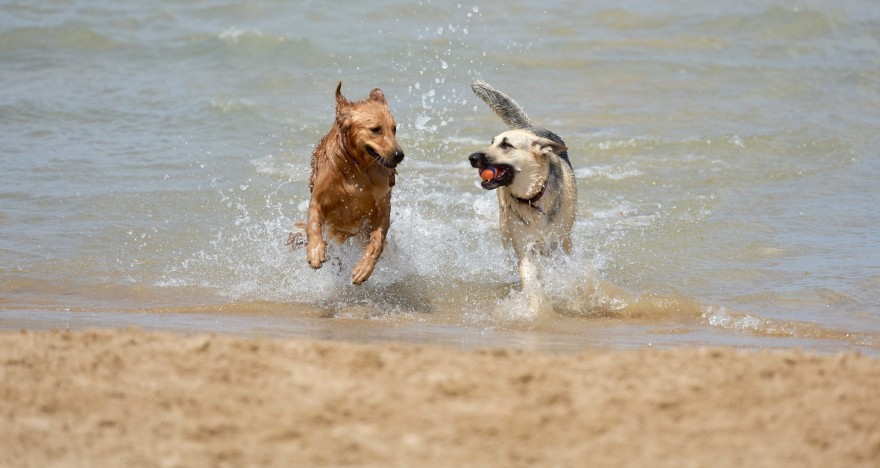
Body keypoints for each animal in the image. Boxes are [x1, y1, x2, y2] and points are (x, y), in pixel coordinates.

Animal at [468, 79, 576, 300]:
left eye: (506, 145)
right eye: (491, 142)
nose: (472, 158)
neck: (533, 197)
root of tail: (530, 128)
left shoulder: (560, 244)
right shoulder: (524, 247)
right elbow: (531, 281)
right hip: (505, 231)